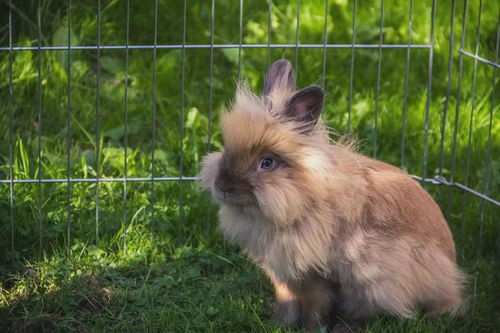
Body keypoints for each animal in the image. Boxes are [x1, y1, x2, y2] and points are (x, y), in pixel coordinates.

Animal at [198, 60, 464, 332]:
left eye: (267, 163)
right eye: (227, 150)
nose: (223, 186)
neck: (303, 197)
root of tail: (450, 281)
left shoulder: (317, 275)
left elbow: (317, 305)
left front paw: (312, 329)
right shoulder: (283, 276)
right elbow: (286, 301)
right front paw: (277, 325)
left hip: (376, 279)